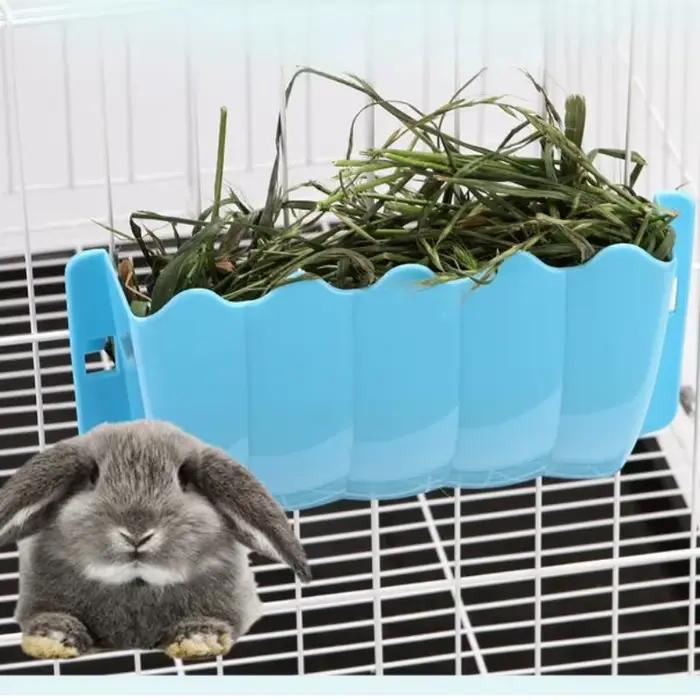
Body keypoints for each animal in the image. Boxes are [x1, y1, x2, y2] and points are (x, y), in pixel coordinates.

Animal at [0, 419, 310, 661]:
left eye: (184, 478)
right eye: (93, 476)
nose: (136, 533)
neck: (136, 585)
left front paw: (199, 638)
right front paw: (53, 636)